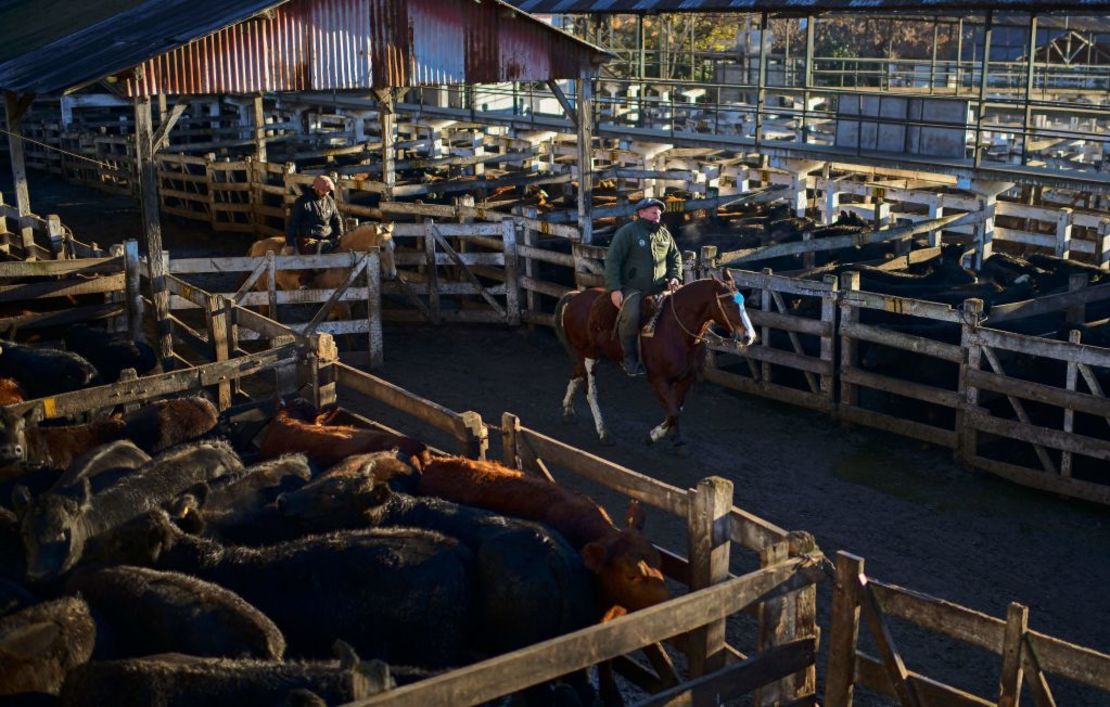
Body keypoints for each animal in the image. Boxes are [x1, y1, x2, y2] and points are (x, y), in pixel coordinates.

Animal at [245, 221, 397, 317]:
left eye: (394, 247)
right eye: (382, 248)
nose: (392, 274)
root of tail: (258, 243)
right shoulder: (342, 306)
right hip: (263, 292)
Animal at [552, 267, 754, 455]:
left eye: (743, 301)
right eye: (728, 303)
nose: (749, 336)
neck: (675, 330)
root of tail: (575, 297)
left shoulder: (685, 378)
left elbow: (676, 409)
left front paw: (677, 442)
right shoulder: (657, 379)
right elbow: (672, 411)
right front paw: (653, 436)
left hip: (588, 355)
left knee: (576, 374)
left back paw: (567, 411)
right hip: (590, 356)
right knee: (590, 392)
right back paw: (604, 433)